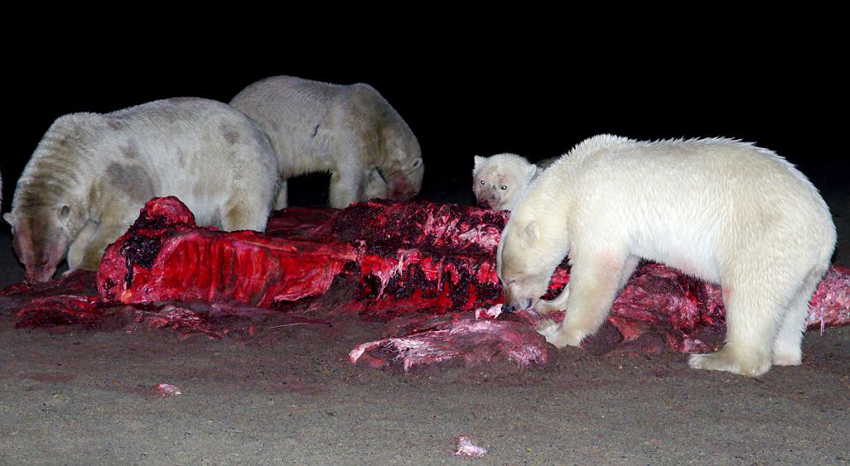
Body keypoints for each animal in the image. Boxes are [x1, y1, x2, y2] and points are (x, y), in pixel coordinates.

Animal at [4, 96, 280, 282]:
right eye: (22, 259)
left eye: (45, 259)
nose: (34, 282)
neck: (76, 150)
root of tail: (259, 131)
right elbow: (85, 230)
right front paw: (74, 261)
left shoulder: (117, 172)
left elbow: (121, 216)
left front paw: (84, 266)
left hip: (240, 165)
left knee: (243, 209)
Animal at [230, 75, 422, 208]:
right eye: (413, 193)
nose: (402, 199)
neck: (380, 123)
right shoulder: (354, 131)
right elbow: (348, 179)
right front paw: (347, 206)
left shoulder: (368, 149)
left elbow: (372, 178)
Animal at [496, 134, 836, 374]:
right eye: (502, 278)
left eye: (512, 278)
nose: (510, 307)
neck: (574, 174)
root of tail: (825, 230)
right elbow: (622, 266)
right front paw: (551, 304)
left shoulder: (597, 204)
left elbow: (596, 270)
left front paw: (555, 332)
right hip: (797, 260)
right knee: (793, 305)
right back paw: (785, 354)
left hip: (762, 238)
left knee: (750, 296)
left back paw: (713, 359)